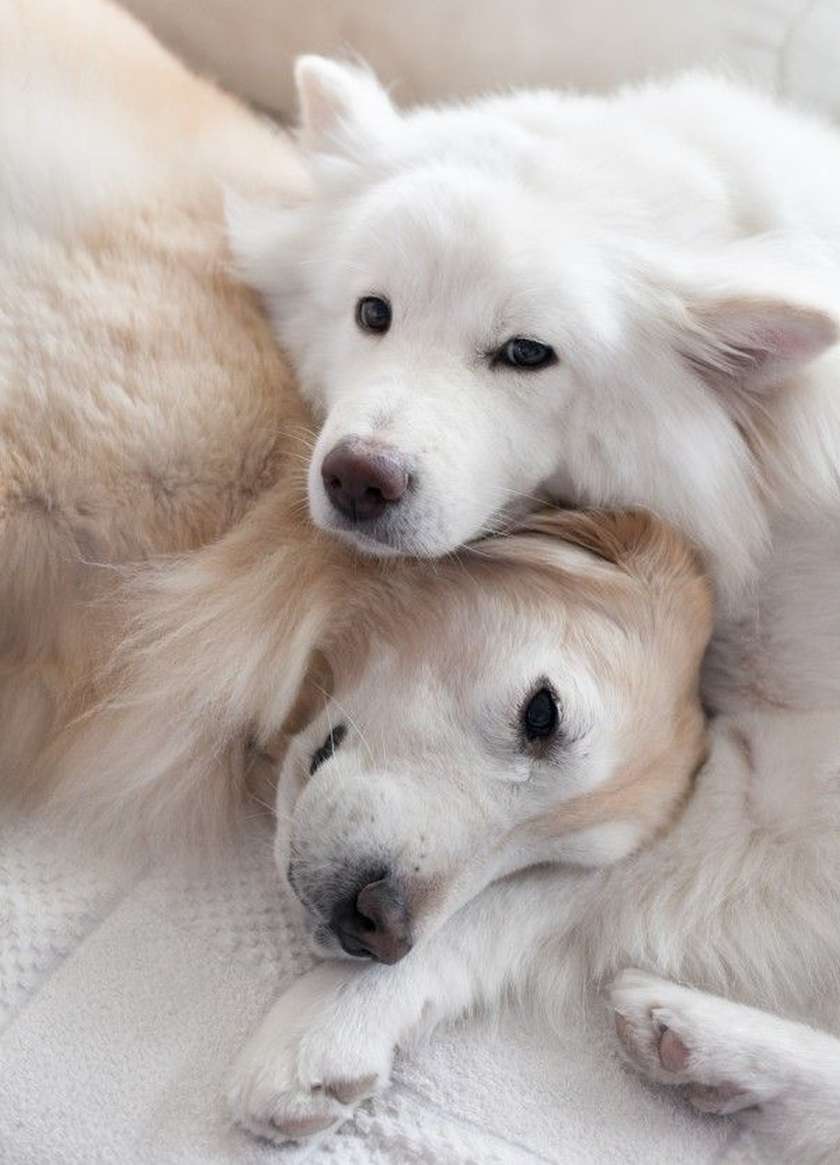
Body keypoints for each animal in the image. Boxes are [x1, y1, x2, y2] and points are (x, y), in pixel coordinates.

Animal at [222, 63, 838, 1155]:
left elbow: (514, 899)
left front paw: (324, 1022)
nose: (359, 478)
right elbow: (528, 897)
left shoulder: (775, 788)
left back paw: (720, 1044)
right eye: (371, 312)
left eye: (525, 353)